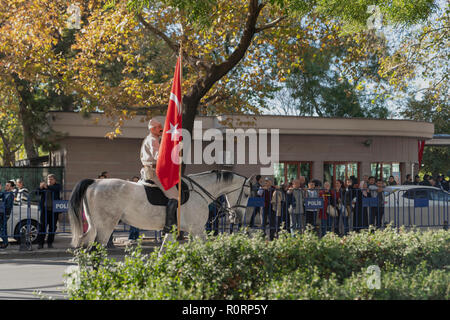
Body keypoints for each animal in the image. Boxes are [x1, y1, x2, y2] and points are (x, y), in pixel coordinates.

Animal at [66, 170, 251, 248]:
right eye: (247, 193)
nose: (236, 217)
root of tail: (95, 182)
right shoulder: (198, 230)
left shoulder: (174, 230)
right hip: (105, 227)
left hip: (93, 226)